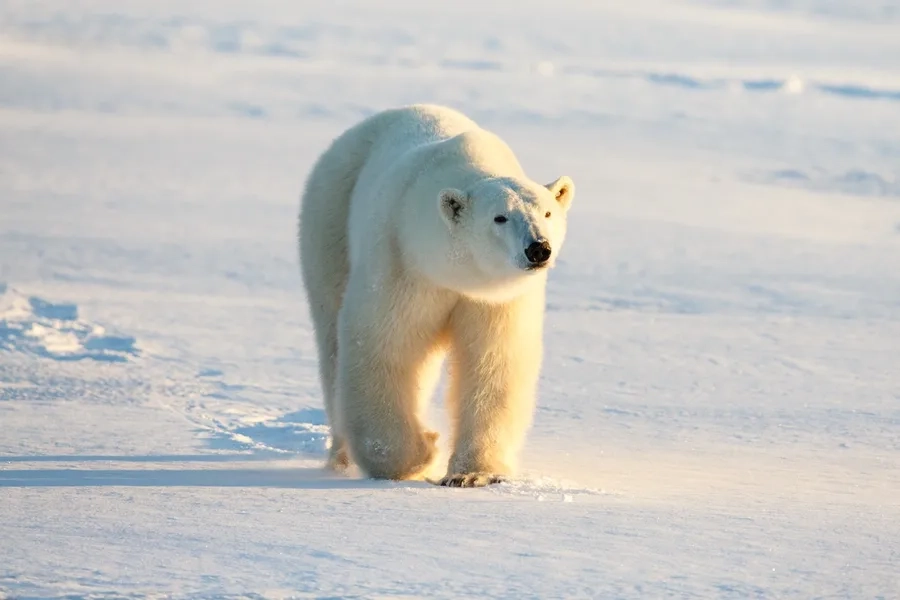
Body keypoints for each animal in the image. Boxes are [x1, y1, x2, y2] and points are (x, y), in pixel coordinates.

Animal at [298, 104, 572, 488]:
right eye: (500, 217)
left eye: (547, 212)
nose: (538, 249)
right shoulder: (402, 262)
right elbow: (383, 345)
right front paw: (418, 455)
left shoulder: (495, 300)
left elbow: (493, 361)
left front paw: (473, 474)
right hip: (330, 219)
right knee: (331, 341)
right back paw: (341, 455)